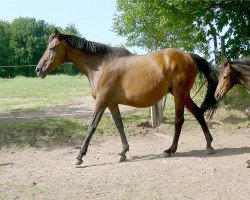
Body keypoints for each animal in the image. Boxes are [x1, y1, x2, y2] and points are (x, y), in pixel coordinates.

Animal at [36, 28, 218, 165]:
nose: (38, 69)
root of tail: (188, 56)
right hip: (182, 94)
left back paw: (170, 150)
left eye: (52, 48)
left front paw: (79, 156)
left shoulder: (101, 102)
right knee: (198, 113)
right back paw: (208, 145)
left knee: (179, 120)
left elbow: (91, 127)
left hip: (179, 95)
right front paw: (123, 152)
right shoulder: (111, 103)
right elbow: (119, 125)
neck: (101, 66)